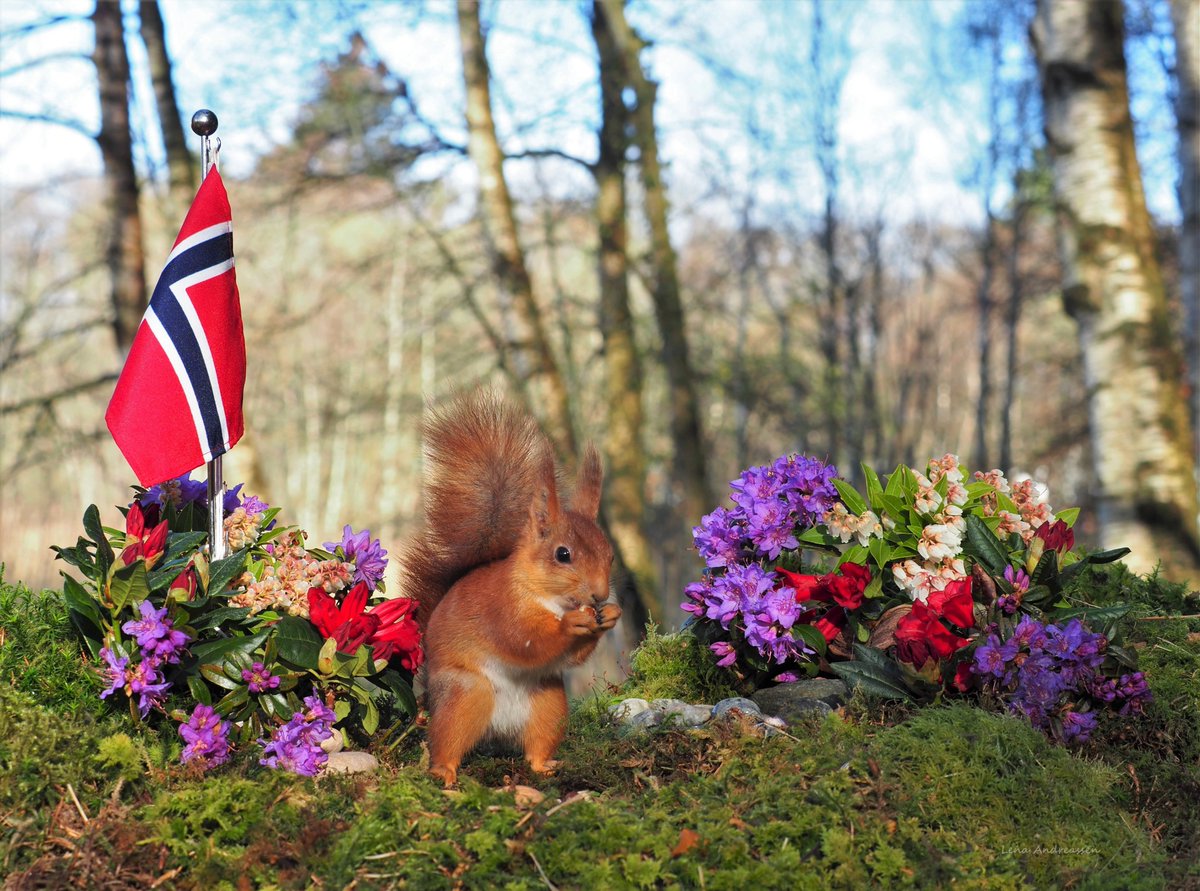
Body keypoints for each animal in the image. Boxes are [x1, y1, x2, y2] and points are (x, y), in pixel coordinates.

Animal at [403, 391, 624, 787]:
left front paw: (611, 615)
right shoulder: (500, 608)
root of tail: (499, 730)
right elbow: (524, 640)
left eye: (610, 554)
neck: (551, 600)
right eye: (563, 554)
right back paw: (445, 773)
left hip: (549, 703)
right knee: (447, 741)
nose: (600, 595)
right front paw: (571, 625)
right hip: (466, 696)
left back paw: (545, 766)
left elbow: (572, 657)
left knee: (535, 747)